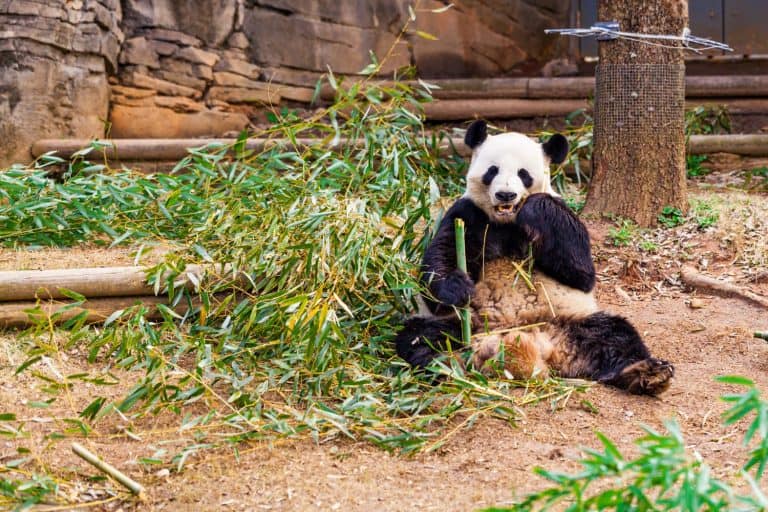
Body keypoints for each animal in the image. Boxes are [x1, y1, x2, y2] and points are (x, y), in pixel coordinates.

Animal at [394, 120, 674, 396]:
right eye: (492, 170)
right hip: (468, 324)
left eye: (523, 174)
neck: (506, 221)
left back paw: (648, 373)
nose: (506, 195)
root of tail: (536, 342)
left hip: (573, 321)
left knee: (615, 334)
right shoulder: (467, 214)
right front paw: (458, 287)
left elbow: (582, 271)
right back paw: (446, 366)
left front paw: (535, 206)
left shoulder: (562, 216)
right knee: (422, 338)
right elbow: (439, 260)